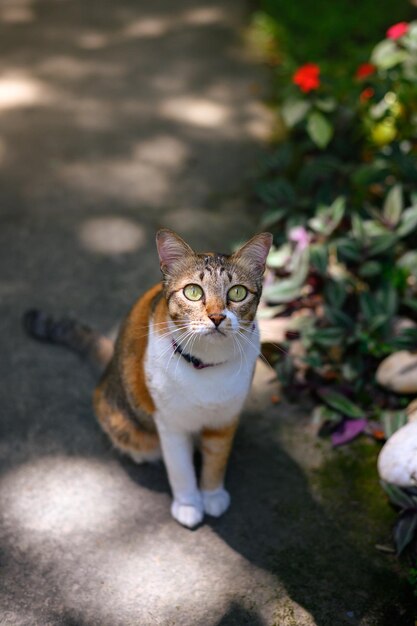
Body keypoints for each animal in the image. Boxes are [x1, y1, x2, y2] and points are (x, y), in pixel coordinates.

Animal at [24, 227, 272, 524]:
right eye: (193, 292)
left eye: (237, 293)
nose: (216, 317)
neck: (206, 364)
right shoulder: (169, 422)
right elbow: (180, 468)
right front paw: (188, 504)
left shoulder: (225, 418)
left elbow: (217, 458)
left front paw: (212, 494)